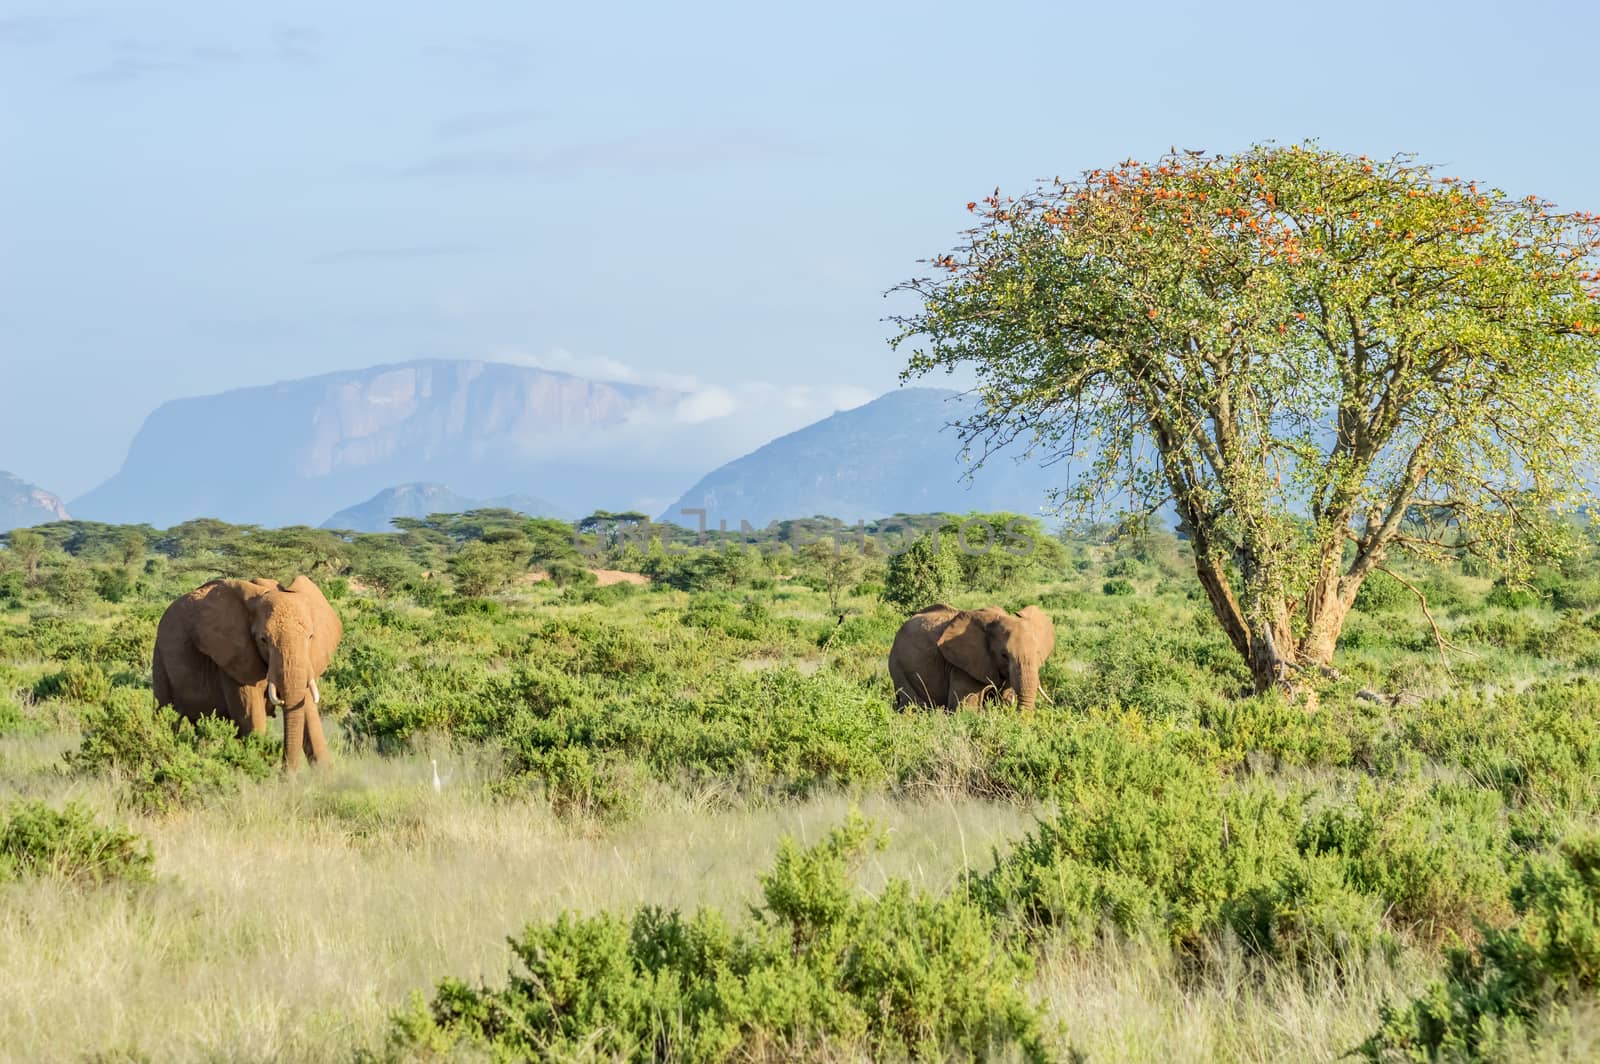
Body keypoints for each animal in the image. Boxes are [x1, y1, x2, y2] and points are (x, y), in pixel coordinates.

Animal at [152, 576, 344, 768]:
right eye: (263, 640)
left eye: (311, 637)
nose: (285, 772)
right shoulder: (232, 658)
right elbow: (252, 716)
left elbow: (310, 715)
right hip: (160, 657)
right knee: (167, 715)